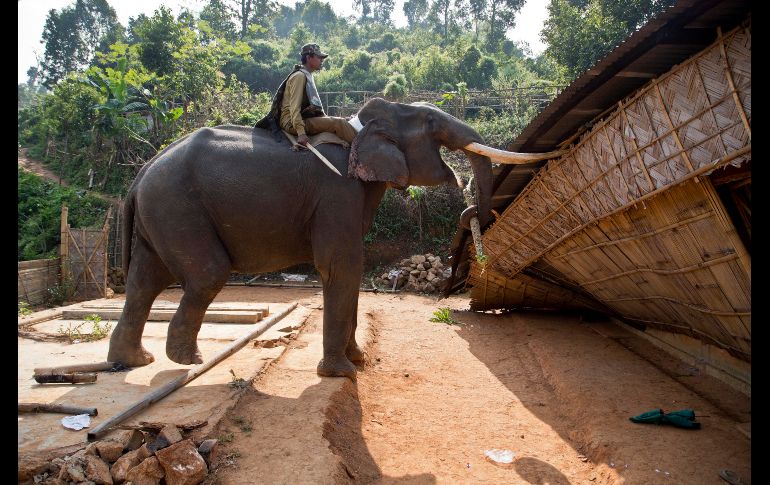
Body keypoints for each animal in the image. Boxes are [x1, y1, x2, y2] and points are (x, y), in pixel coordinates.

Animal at [107, 97, 515, 380]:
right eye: (430, 122)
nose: (473, 211)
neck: (359, 127)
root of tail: (139, 175)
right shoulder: (337, 192)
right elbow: (342, 265)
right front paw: (343, 374)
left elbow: (351, 268)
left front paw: (358, 360)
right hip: (177, 207)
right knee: (205, 274)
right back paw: (187, 361)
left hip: (161, 215)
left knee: (144, 281)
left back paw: (134, 361)